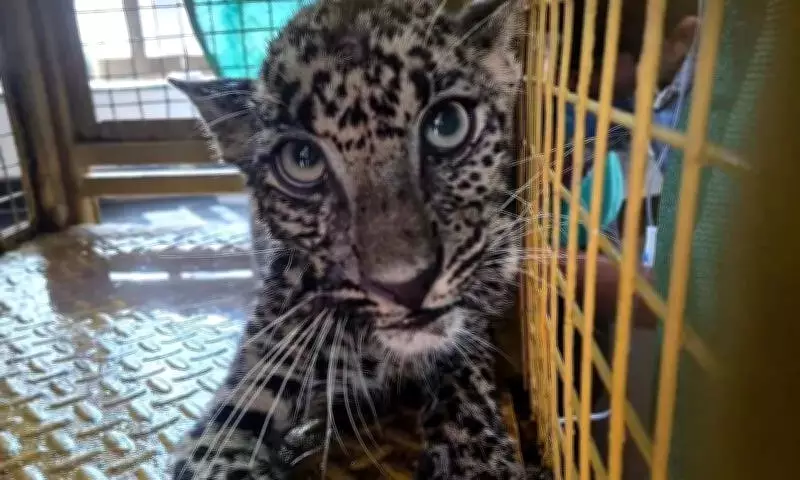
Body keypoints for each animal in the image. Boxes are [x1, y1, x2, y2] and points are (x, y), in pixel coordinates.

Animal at [169, 0, 544, 478]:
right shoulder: (232, 411)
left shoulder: (473, 316)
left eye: (448, 124)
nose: (407, 286)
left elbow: (463, 367)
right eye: (302, 160)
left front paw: (474, 455)